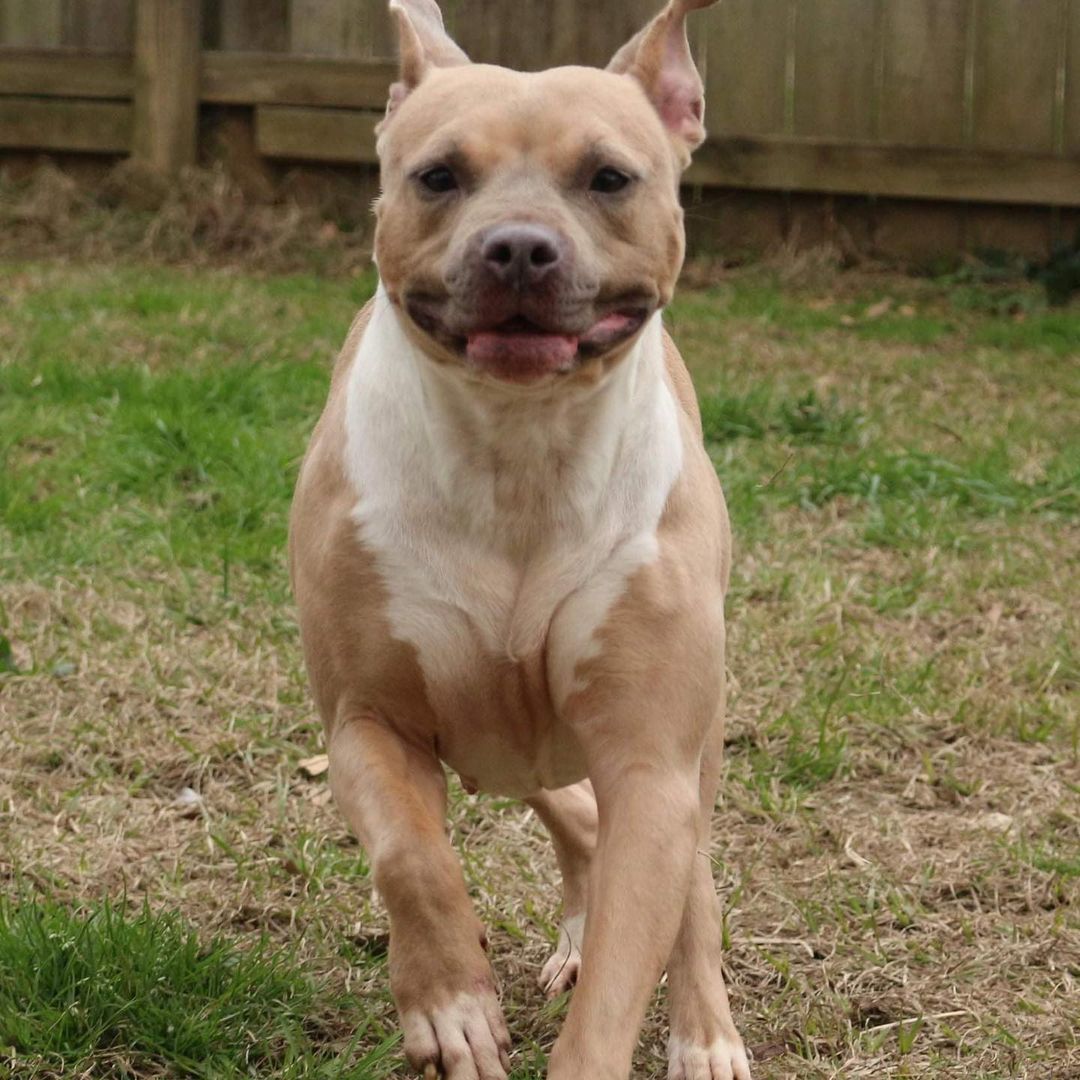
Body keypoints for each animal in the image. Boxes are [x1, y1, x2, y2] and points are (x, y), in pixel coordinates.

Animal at [287, 4, 751, 1075]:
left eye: (609, 178)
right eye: (438, 175)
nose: (519, 249)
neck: (519, 450)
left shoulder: (652, 766)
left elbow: (633, 960)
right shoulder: (368, 720)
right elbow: (411, 859)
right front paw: (450, 1005)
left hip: (684, 748)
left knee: (691, 889)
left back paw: (704, 1032)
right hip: (510, 741)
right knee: (571, 817)